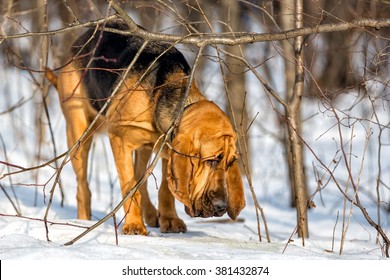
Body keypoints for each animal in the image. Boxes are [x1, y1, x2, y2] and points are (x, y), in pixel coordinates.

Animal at [47, 18, 244, 235]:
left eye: (230, 163)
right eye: (211, 161)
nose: (221, 207)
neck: (164, 93)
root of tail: (80, 41)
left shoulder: (167, 150)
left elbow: (165, 189)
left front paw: (169, 220)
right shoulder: (119, 140)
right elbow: (129, 187)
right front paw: (134, 225)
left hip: (145, 148)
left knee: (141, 180)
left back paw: (150, 214)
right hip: (79, 134)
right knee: (83, 186)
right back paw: (84, 220)